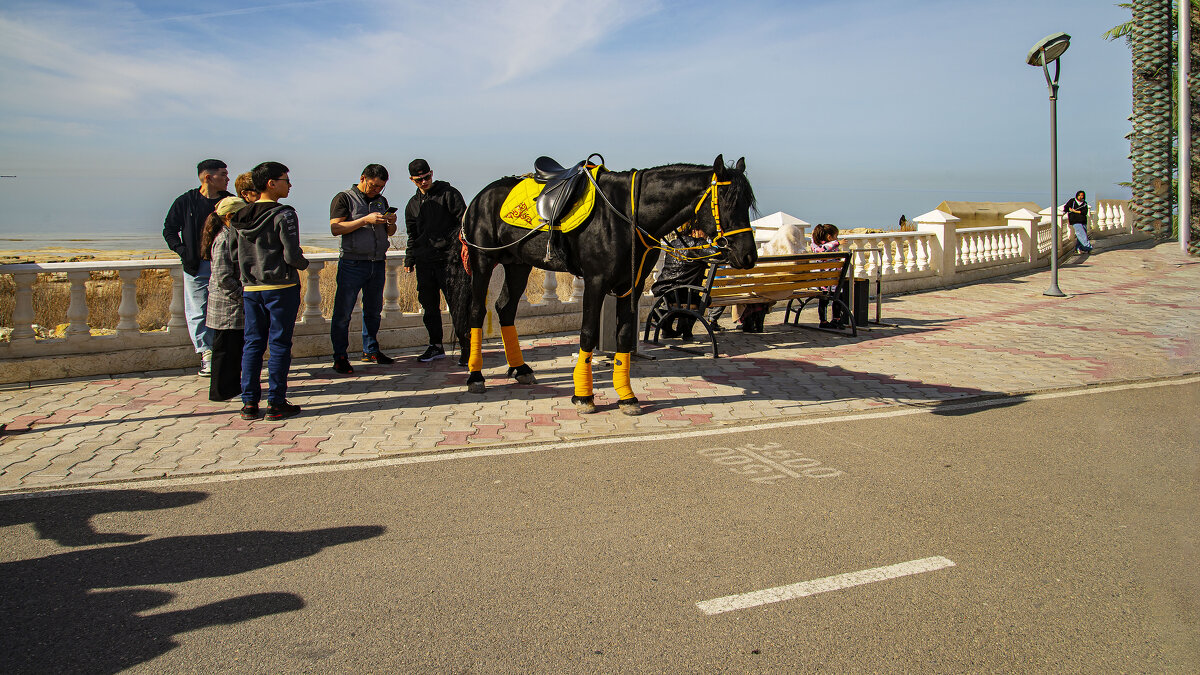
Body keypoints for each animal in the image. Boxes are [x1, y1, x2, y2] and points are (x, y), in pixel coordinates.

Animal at [453, 154, 753, 413]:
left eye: (747, 203)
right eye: (727, 201)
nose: (748, 255)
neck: (627, 215)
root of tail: (480, 198)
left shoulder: (632, 285)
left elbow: (624, 334)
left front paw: (626, 395)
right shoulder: (595, 282)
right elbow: (587, 333)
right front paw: (583, 395)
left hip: (518, 264)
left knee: (505, 309)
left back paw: (521, 368)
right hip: (483, 261)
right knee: (477, 312)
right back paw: (475, 375)